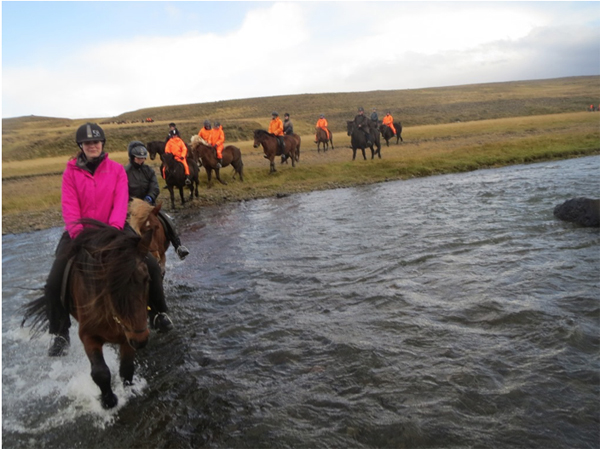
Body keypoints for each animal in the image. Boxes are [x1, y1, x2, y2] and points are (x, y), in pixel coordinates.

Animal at [21, 220, 152, 410]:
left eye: (147, 279)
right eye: (109, 285)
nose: (140, 341)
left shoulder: (127, 336)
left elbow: (127, 368)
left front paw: (129, 391)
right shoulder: (88, 335)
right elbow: (100, 372)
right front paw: (108, 401)